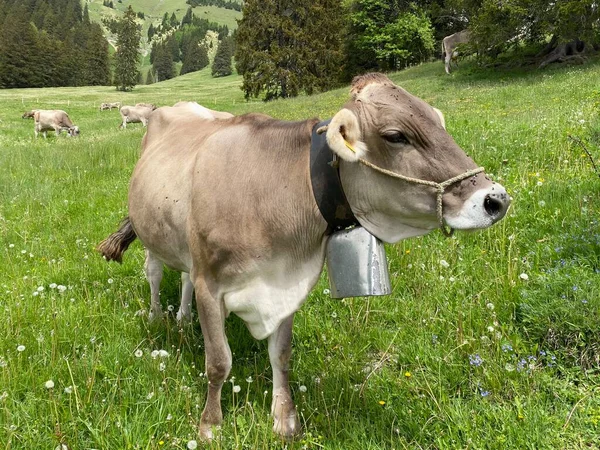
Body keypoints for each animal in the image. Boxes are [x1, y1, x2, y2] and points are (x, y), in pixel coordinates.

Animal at [98, 73, 510, 440]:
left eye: (438, 122)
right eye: (396, 136)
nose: (496, 199)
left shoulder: (286, 282)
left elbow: (281, 355)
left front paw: (284, 419)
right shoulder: (209, 284)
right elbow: (218, 362)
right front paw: (210, 425)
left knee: (181, 275)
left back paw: (183, 318)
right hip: (150, 232)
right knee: (154, 272)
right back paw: (158, 316)